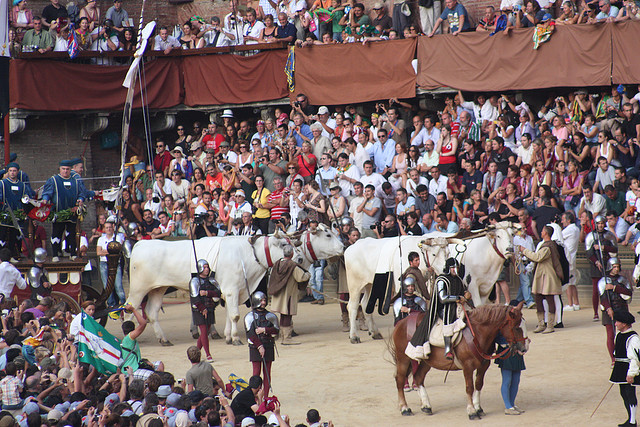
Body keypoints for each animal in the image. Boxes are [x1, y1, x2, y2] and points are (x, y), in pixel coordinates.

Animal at [392, 302, 528, 420]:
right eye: (516, 328)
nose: (524, 347)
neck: (477, 333)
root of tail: (401, 323)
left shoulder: (484, 365)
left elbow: (478, 384)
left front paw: (478, 408)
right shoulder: (467, 366)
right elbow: (469, 387)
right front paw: (471, 411)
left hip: (427, 362)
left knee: (418, 377)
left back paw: (426, 406)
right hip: (403, 358)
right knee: (400, 380)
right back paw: (404, 408)